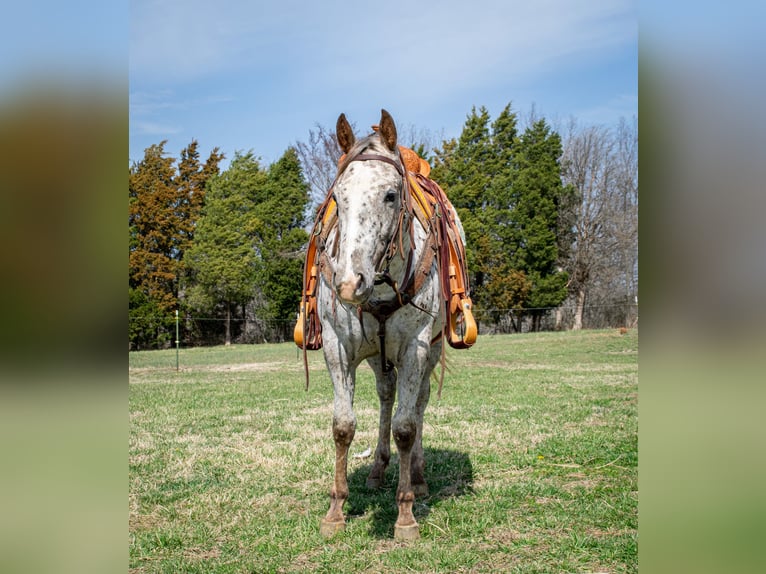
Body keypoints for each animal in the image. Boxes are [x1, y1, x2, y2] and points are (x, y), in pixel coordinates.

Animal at [312, 109, 460, 540]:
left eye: (390, 195)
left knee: (418, 404)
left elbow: (406, 427)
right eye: (338, 198)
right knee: (385, 395)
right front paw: (336, 510)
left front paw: (405, 515)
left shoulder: (415, 349)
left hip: (431, 352)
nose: (349, 282)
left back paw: (419, 476)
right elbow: (343, 426)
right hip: (379, 356)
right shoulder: (337, 347)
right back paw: (378, 468)